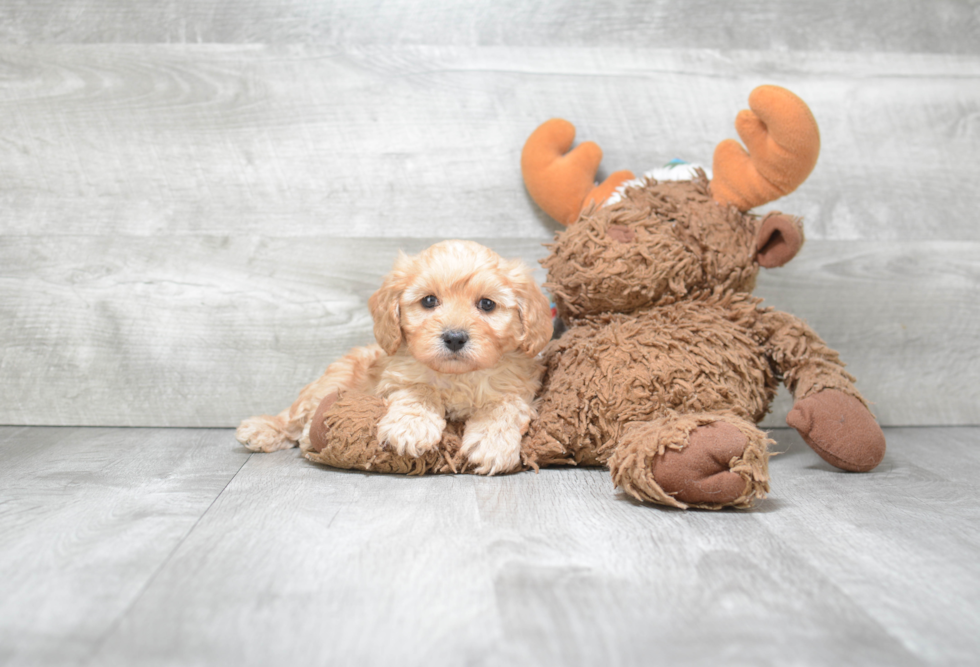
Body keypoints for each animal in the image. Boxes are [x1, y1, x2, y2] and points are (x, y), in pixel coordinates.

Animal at [235, 243, 552, 478]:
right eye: (429, 301)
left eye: (487, 304)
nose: (454, 337)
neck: (457, 375)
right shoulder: (397, 376)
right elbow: (418, 390)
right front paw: (411, 428)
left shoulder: (518, 387)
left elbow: (503, 406)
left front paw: (491, 442)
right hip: (331, 382)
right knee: (294, 416)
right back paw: (264, 430)